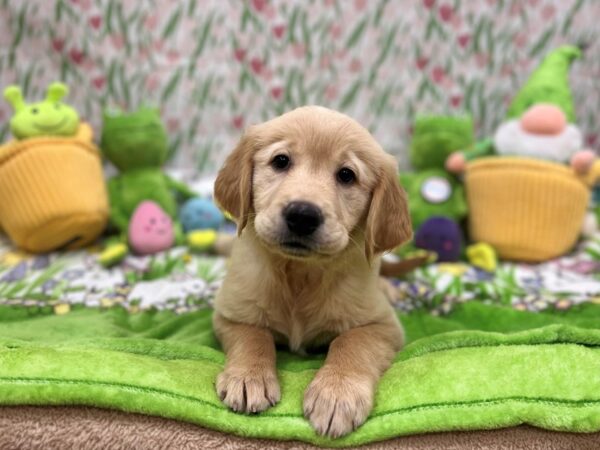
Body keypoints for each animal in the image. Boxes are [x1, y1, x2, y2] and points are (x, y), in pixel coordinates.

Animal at [211, 104, 412, 436]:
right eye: (280, 161)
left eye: (346, 175)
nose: (303, 215)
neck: (299, 274)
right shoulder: (232, 312)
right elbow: (254, 336)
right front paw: (248, 377)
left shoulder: (382, 325)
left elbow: (351, 342)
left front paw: (337, 394)